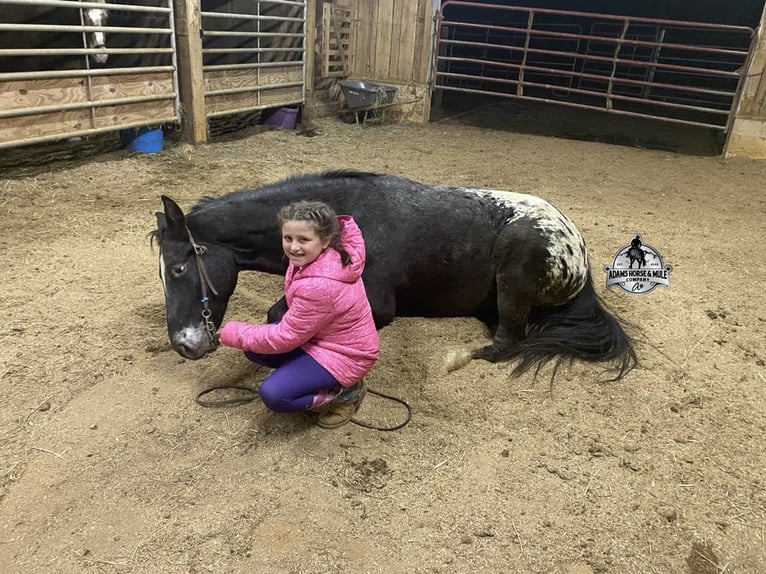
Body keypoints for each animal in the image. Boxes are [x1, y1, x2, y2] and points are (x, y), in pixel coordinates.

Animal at [151, 171, 637, 381]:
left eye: (178, 267)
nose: (183, 345)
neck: (346, 218)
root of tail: (578, 254)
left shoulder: (376, 306)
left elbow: (277, 319)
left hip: (514, 280)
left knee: (508, 344)